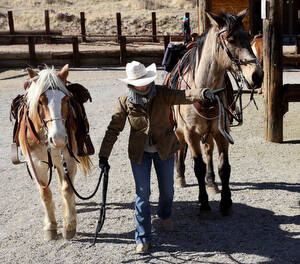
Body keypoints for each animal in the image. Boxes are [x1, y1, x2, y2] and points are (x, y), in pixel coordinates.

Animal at [10, 65, 92, 240]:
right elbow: (45, 193)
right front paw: (50, 227)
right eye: (40, 101)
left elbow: (67, 190)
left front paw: (69, 226)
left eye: (66, 100)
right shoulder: (35, 163)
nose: (58, 138)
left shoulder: (68, 159)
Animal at [170, 9, 264, 217]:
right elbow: (197, 167)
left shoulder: (221, 132)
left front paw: (226, 203)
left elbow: (224, 167)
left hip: (209, 132)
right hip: (180, 131)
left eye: (249, 38)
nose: (257, 75)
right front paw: (204, 204)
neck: (205, 93)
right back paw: (180, 177)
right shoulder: (191, 134)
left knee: (208, 151)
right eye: (230, 39)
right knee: (180, 148)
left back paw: (211, 182)